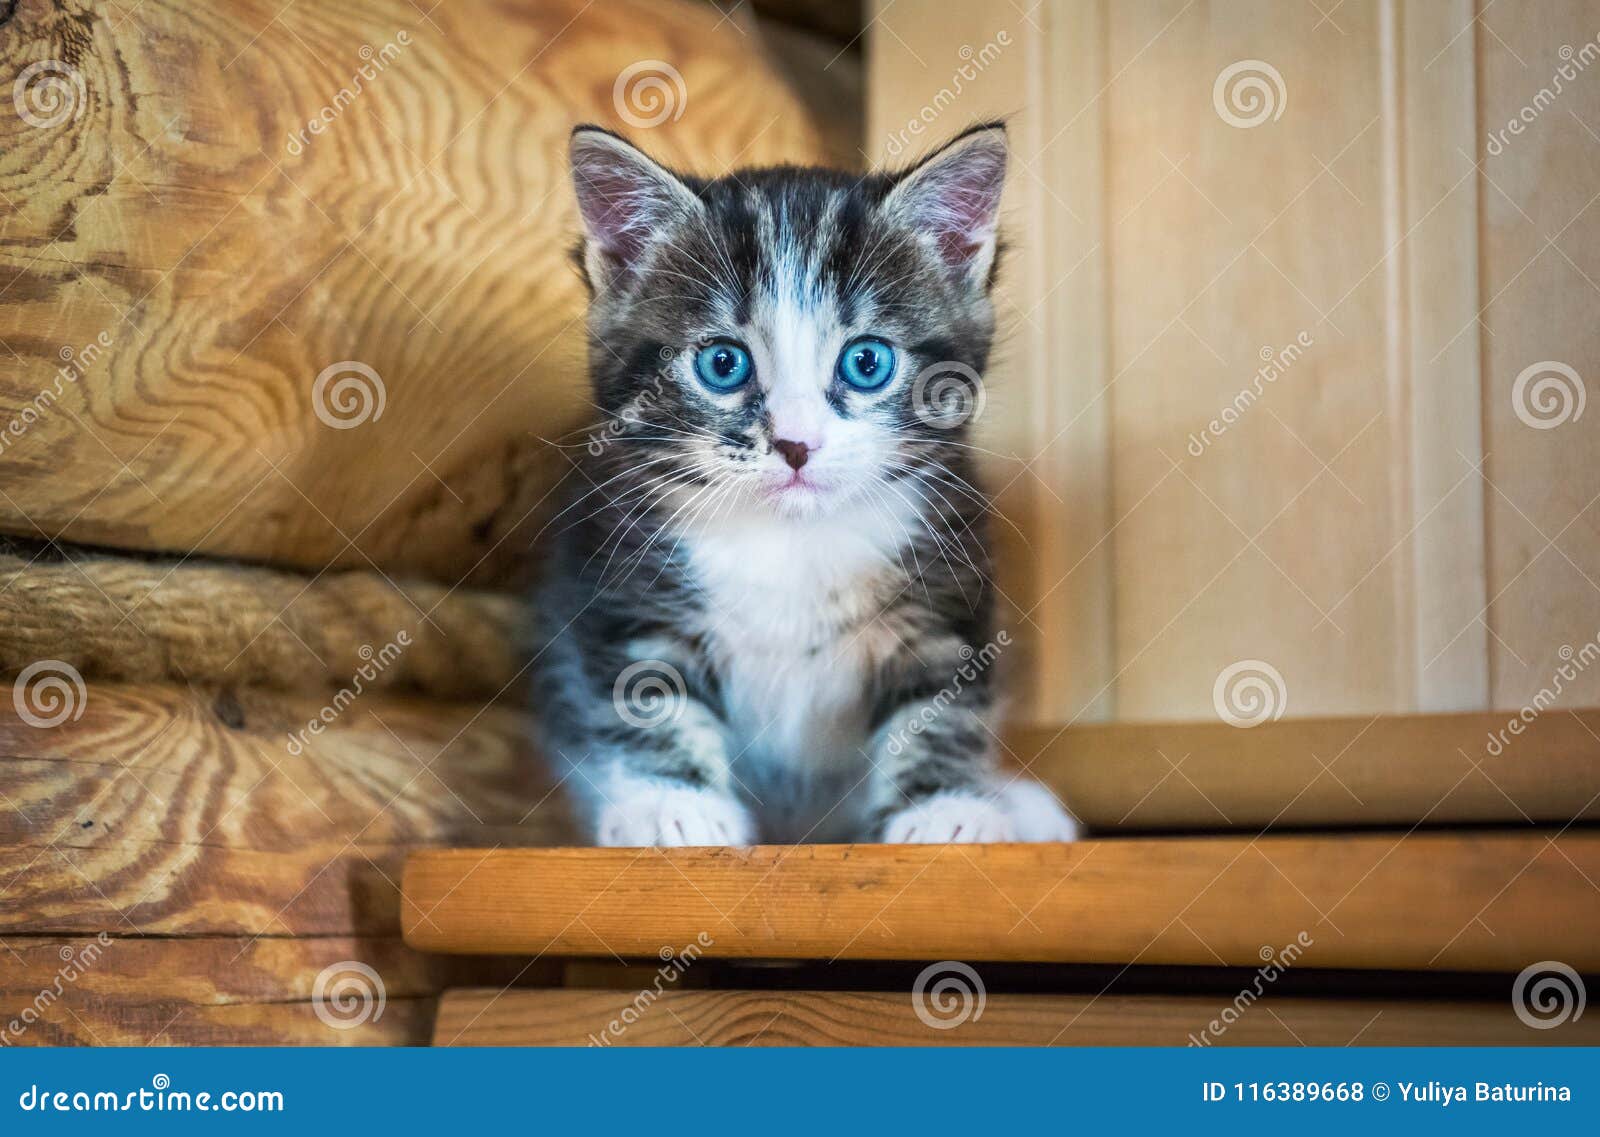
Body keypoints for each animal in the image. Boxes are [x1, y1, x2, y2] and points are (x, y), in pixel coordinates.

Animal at [531, 122, 1081, 844]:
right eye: (723, 363)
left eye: (867, 362)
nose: (796, 444)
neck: (792, 541)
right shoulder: (625, 577)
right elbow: (645, 692)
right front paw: (672, 804)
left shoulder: (947, 580)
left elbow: (942, 701)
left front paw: (942, 810)